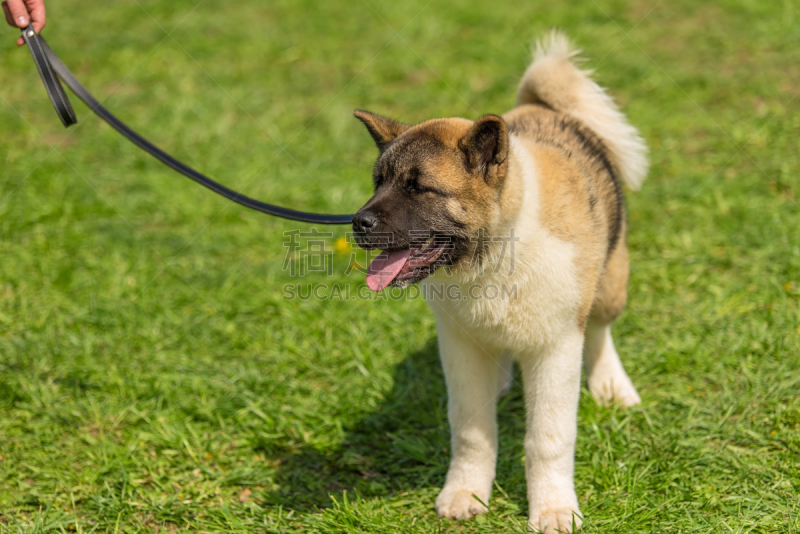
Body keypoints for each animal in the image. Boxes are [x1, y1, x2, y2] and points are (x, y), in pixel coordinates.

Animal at [354, 31, 648, 532]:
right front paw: (466, 492)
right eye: (379, 183)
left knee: (599, 329)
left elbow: (548, 438)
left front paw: (554, 509)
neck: (496, 255)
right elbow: (471, 428)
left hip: (610, 282)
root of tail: (543, 106)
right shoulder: (459, 345)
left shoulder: (556, 349)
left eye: (419, 188)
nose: (357, 223)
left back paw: (611, 384)